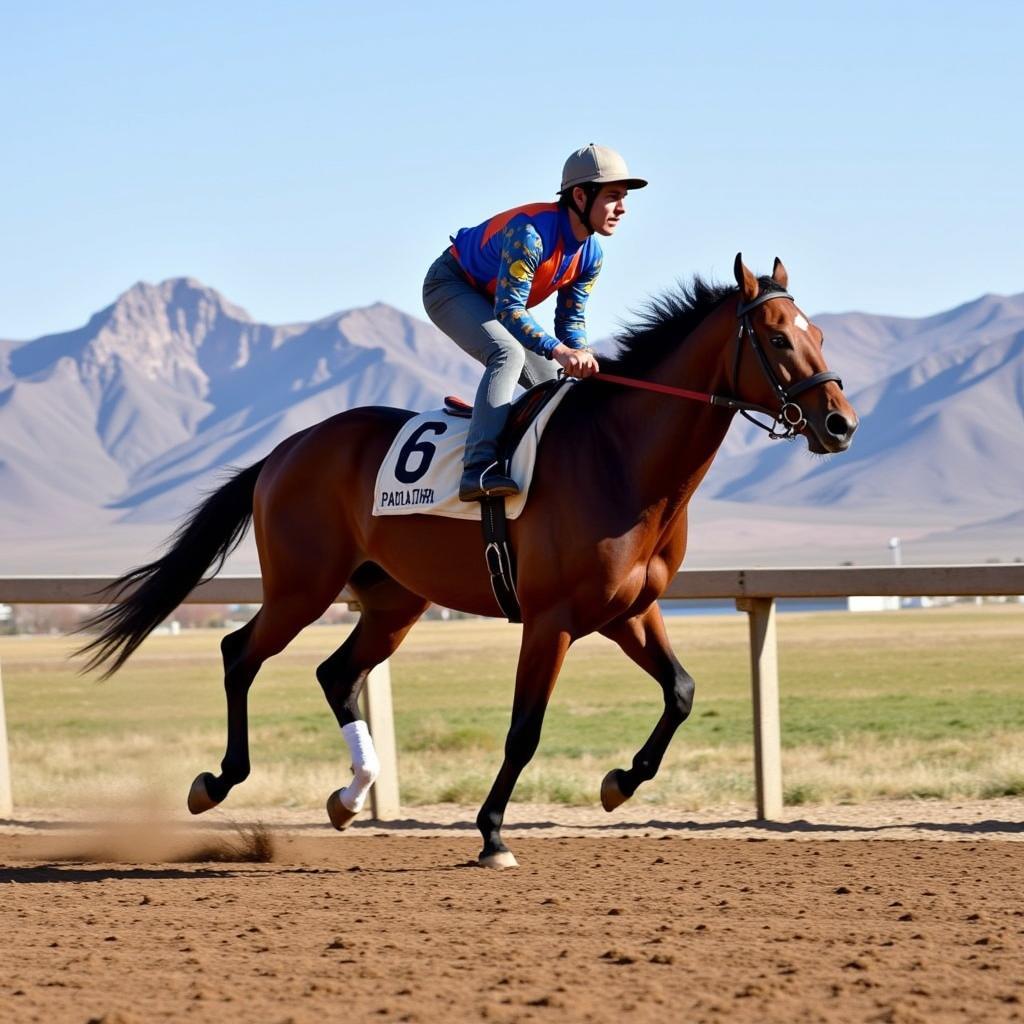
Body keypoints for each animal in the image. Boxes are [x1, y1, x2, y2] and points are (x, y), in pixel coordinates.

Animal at [77, 251, 856, 868]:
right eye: (778, 337)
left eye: (819, 334)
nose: (840, 423)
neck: (621, 459)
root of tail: (286, 449)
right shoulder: (551, 620)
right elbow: (524, 731)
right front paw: (492, 835)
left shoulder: (630, 610)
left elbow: (682, 692)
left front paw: (618, 783)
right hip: (302, 585)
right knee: (240, 653)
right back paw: (216, 783)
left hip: (393, 599)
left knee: (336, 673)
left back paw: (349, 796)